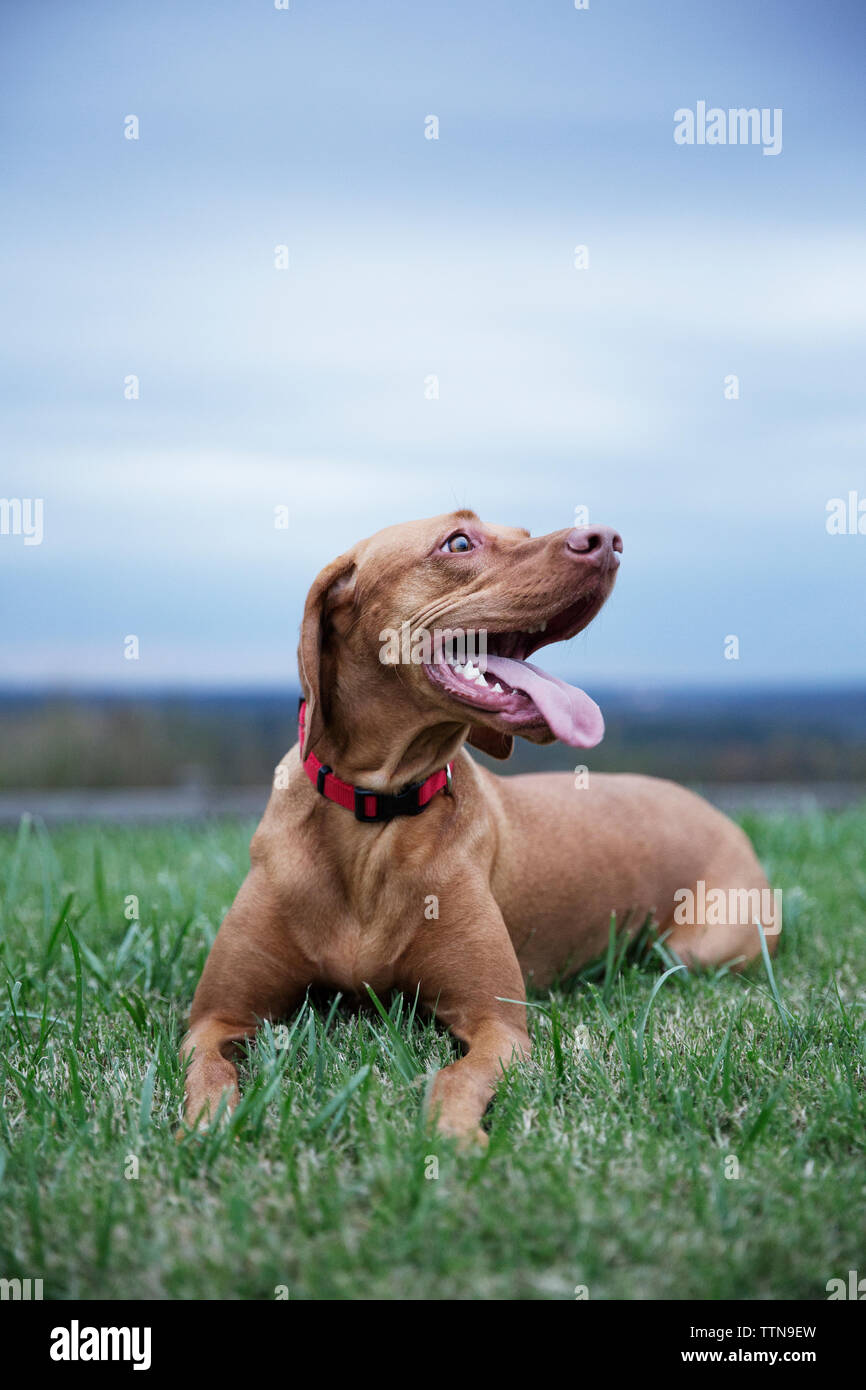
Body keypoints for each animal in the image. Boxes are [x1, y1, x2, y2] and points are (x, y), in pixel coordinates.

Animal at [183, 517, 778, 1145]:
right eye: (459, 542)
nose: (608, 539)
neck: (375, 814)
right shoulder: (214, 1018)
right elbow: (210, 1070)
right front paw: (206, 1127)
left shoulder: (497, 1024)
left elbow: (456, 1077)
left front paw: (453, 1138)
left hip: (698, 948)